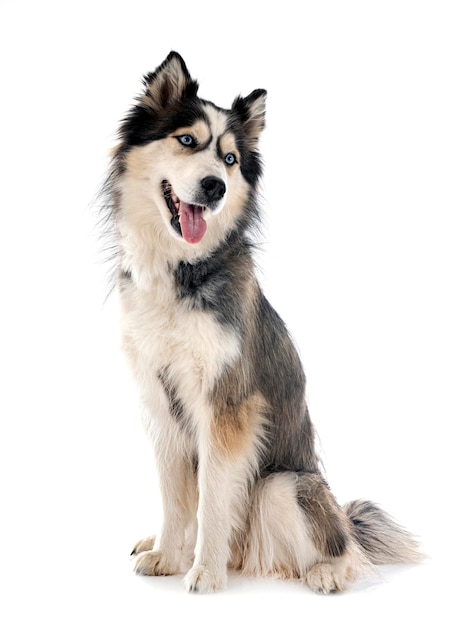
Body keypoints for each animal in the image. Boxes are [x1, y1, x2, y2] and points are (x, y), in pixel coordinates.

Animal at [102, 50, 422, 588]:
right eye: (186, 140)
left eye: (231, 159)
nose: (214, 187)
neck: (183, 270)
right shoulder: (159, 404)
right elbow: (175, 498)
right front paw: (167, 555)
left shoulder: (228, 407)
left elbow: (212, 499)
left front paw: (204, 572)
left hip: (284, 486)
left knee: (345, 545)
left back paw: (327, 571)